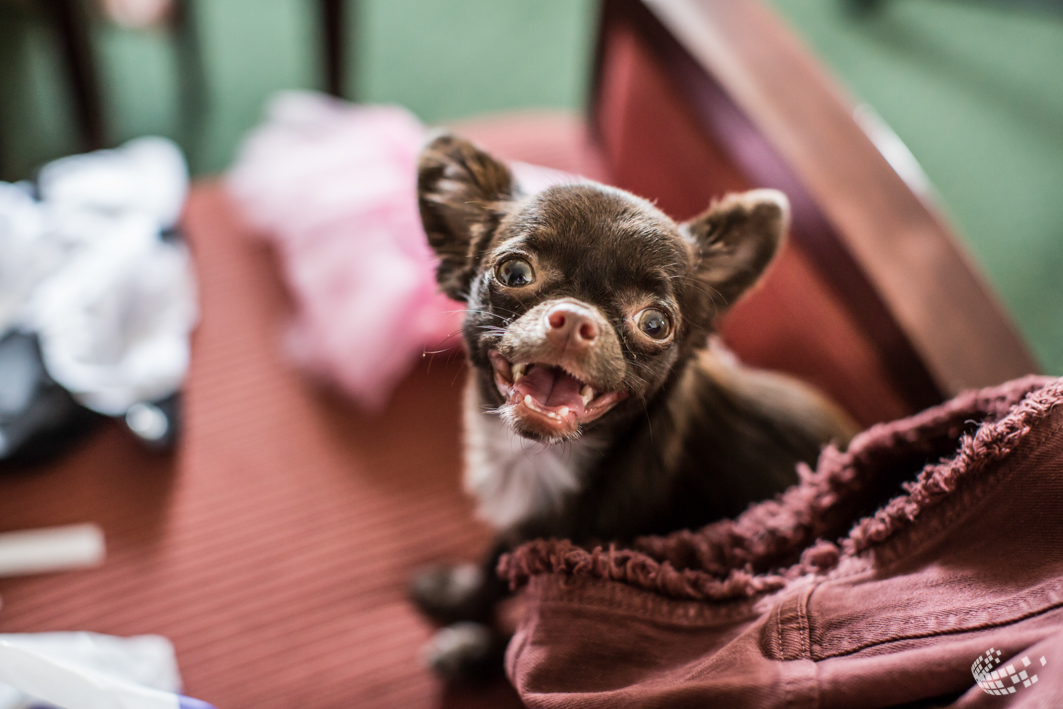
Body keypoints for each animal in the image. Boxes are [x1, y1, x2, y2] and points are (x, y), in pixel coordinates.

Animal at [406, 134, 854, 680]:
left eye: (655, 324)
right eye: (514, 272)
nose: (575, 319)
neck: (538, 461)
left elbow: (525, 631)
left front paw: (472, 650)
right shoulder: (520, 528)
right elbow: (491, 567)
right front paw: (460, 597)